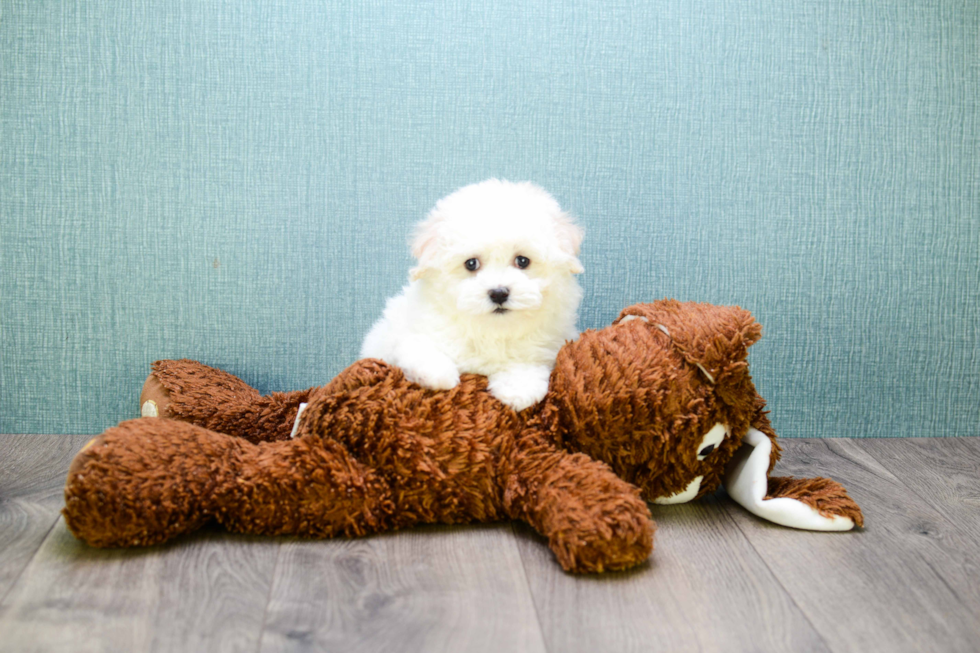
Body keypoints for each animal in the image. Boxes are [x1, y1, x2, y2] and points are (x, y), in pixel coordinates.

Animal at [364, 178, 584, 410]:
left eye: (522, 261)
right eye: (471, 264)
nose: (498, 293)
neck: (491, 331)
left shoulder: (544, 347)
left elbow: (526, 365)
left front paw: (519, 389)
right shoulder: (399, 334)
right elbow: (417, 345)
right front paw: (437, 374)